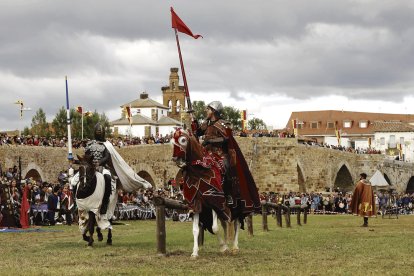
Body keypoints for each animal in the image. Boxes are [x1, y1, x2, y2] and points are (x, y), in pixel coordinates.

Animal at [171, 128, 258, 258]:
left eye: (183, 140)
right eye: (172, 141)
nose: (177, 160)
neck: (199, 173)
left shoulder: (215, 201)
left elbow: (215, 227)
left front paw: (223, 247)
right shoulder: (196, 204)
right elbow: (196, 230)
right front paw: (195, 252)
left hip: (236, 206)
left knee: (236, 223)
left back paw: (234, 247)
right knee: (226, 223)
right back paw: (227, 243)